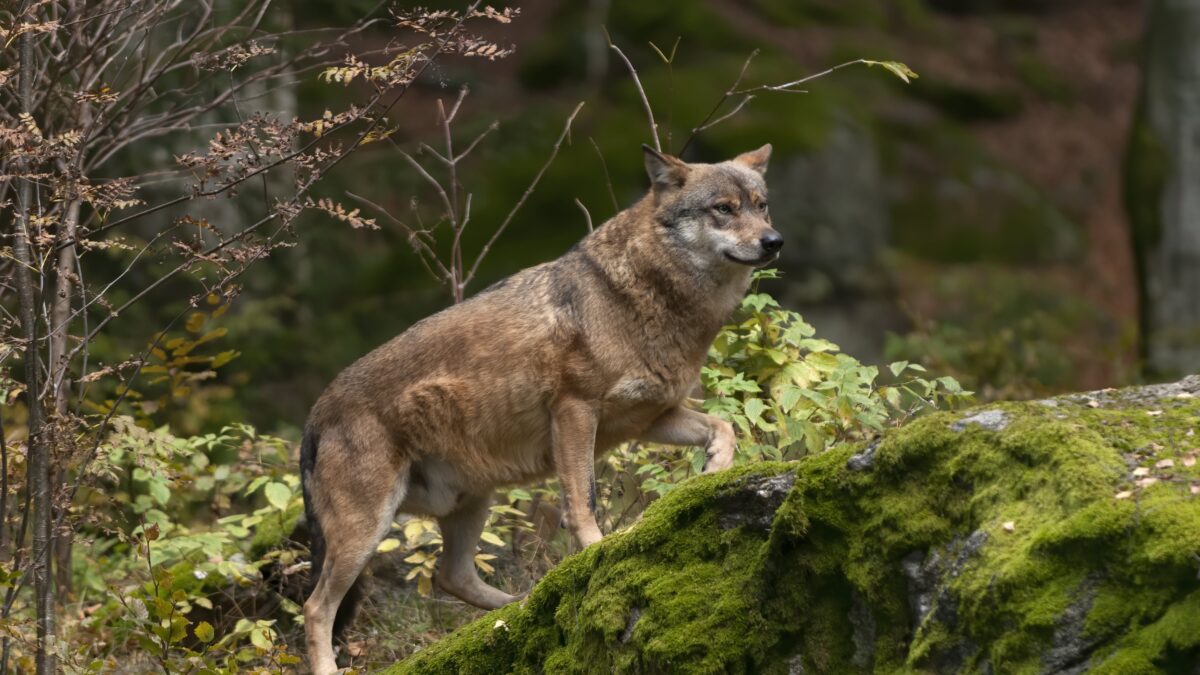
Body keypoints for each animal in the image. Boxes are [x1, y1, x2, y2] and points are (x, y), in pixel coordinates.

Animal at [301, 144, 781, 674]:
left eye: (761, 205)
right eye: (724, 209)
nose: (774, 241)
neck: (645, 296)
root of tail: (315, 415)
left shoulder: (651, 418)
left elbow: (725, 427)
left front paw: (712, 472)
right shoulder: (575, 410)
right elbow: (582, 501)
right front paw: (599, 553)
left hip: (471, 502)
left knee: (450, 577)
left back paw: (520, 606)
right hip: (367, 531)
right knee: (316, 607)